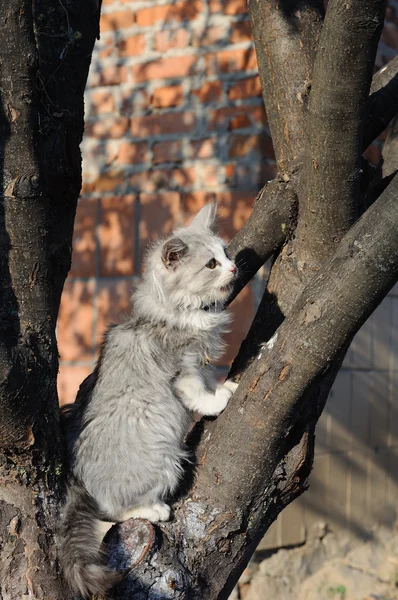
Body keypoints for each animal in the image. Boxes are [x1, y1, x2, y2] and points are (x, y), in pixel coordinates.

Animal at [59, 203, 238, 600]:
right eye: (211, 264)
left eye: (226, 253)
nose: (234, 268)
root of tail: (80, 481)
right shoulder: (182, 369)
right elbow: (199, 394)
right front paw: (218, 400)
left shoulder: (198, 362)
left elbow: (208, 380)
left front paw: (224, 387)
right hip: (162, 456)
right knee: (115, 511)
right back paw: (153, 509)